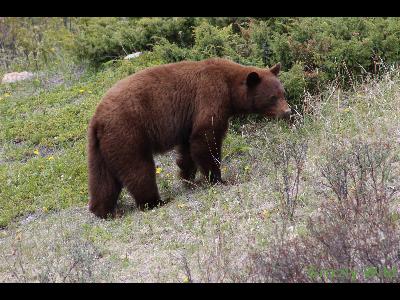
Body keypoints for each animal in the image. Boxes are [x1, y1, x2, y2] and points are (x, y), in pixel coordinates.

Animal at [87, 58, 290, 218]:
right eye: (273, 97)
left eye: (283, 93)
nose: (287, 112)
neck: (229, 86)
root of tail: (97, 118)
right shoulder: (210, 95)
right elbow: (205, 138)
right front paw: (218, 179)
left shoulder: (187, 120)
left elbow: (187, 148)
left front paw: (188, 177)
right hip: (128, 133)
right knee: (138, 168)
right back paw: (154, 201)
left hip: (101, 145)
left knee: (102, 178)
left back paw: (104, 211)